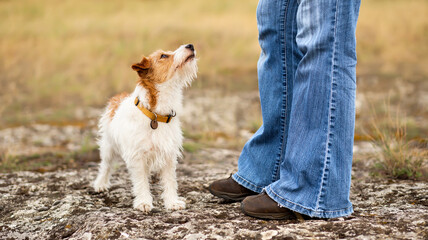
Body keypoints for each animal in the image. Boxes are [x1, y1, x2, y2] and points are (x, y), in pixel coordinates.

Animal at [93, 43, 197, 212]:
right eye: (163, 56)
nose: (190, 45)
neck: (156, 115)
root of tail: (118, 97)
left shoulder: (168, 154)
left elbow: (170, 181)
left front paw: (172, 202)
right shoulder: (137, 156)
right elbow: (141, 181)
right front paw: (143, 202)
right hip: (108, 146)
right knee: (105, 165)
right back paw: (100, 184)